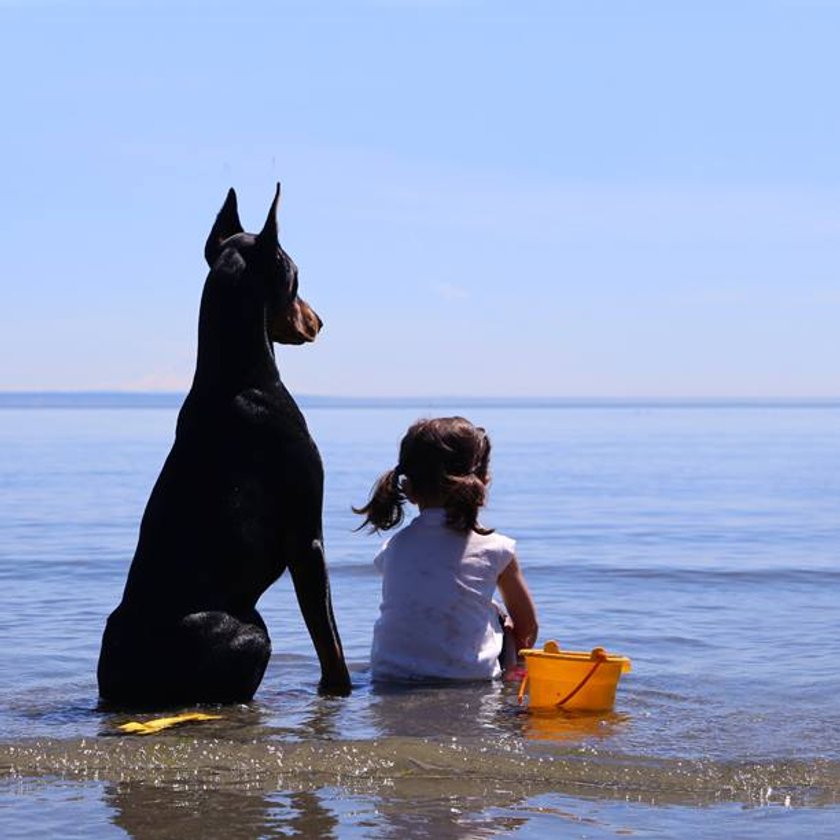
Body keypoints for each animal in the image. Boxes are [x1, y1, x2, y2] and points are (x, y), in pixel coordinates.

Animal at [97, 187, 352, 704]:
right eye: (297, 277)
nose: (320, 321)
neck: (238, 374)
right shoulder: (306, 537)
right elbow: (330, 643)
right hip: (252, 629)